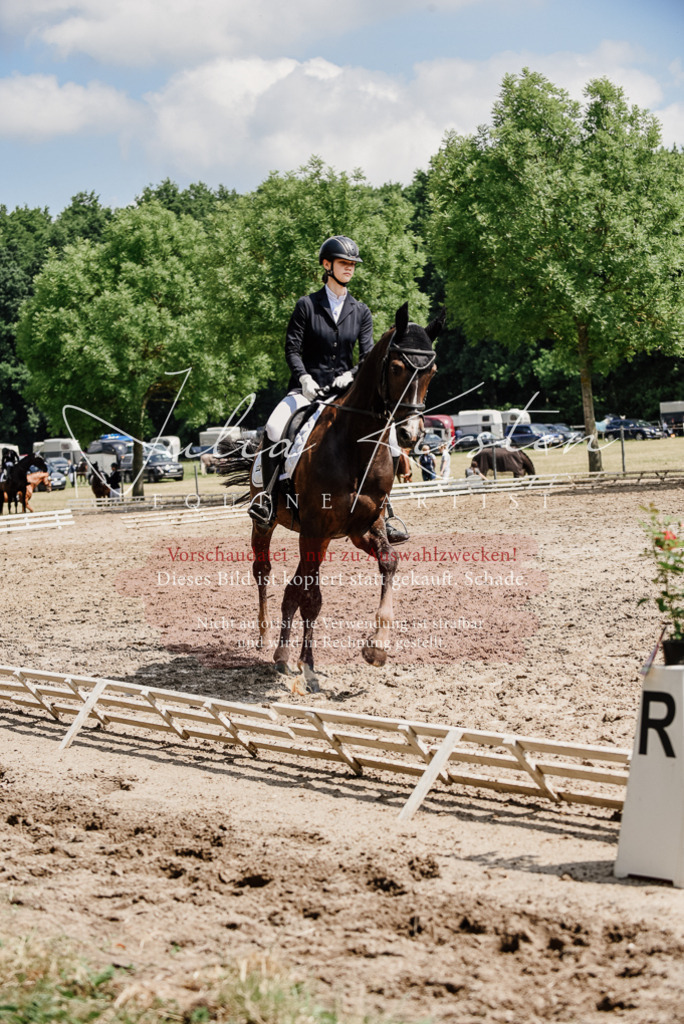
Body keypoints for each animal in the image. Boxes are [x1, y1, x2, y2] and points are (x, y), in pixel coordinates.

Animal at [219, 302, 443, 691]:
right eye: (396, 367)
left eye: (431, 371)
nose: (410, 434)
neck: (355, 445)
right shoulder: (315, 528)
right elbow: (313, 598)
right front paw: (308, 667)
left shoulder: (362, 527)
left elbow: (389, 562)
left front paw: (377, 647)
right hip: (273, 526)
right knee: (264, 571)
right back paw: (265, 638)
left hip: (320, 539)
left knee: (292, 588)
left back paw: (281, 655)